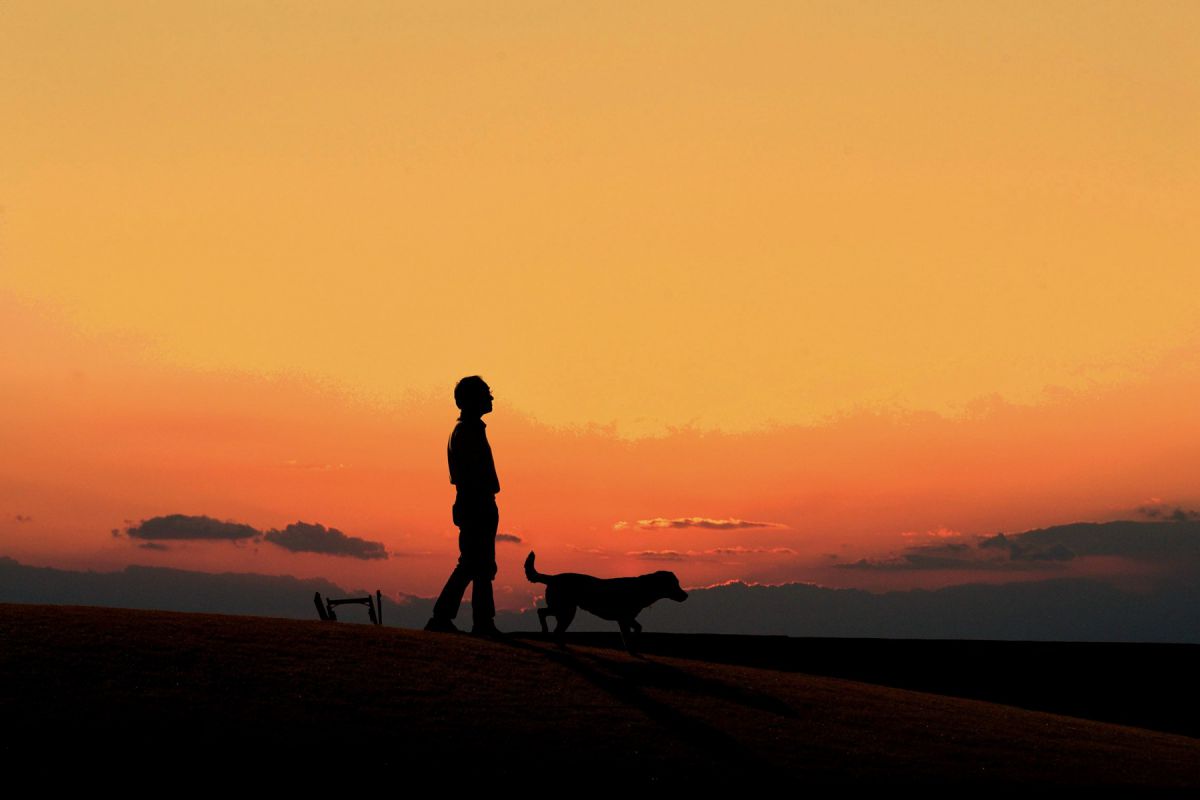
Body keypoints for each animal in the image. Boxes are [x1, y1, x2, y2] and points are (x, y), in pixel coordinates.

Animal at [523, 551, 686, 657]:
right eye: (675, 584)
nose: (686, 595)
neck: (643, 588)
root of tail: (553, 577)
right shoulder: (624, 618)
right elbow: (630, 634)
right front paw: (632, 649)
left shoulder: (626, 619)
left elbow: (635, 630)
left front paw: (632, 648)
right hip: (565, 610)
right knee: (547, 619)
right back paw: (551, 635)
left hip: (562, 610)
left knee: (546, 617)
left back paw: (556, 640)